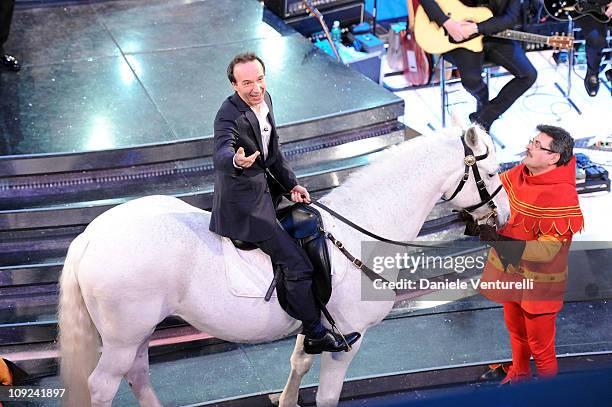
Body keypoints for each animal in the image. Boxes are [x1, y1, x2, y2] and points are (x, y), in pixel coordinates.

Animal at [57, 126, 510, 406]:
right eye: (489, 172)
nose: (504, 216)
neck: (363, 226)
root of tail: (90, 237)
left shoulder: (316, 325)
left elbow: (299, 362)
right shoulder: (349, 338)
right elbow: (327, 395)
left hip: (136, 334)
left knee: (138, 374)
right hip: (122, 337)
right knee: (102, 385)